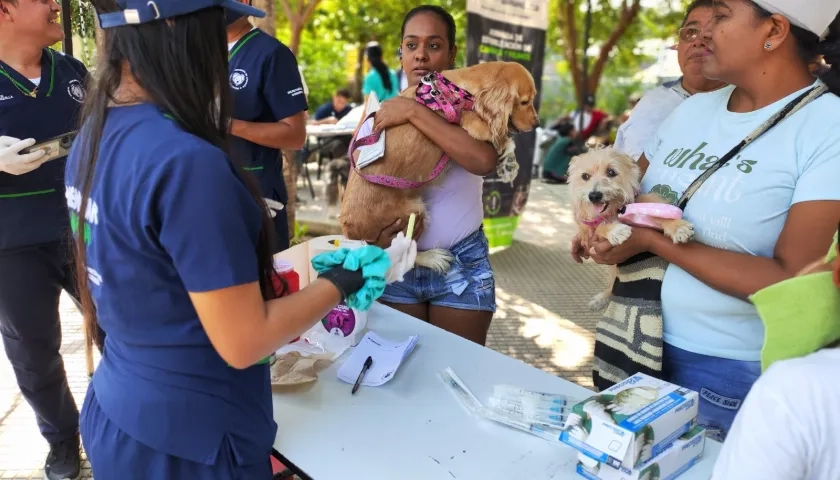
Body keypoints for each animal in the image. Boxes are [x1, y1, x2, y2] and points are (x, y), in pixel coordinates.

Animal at [568, 148, 700, 310]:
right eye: (585, 176)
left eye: (611, 172)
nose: (594, 196)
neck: (615, 210)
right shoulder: (588, 228)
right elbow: (600, 226)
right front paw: (615, 230)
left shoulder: (644, 205)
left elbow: (660, 213)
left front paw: (678, 227)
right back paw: (601, 298)